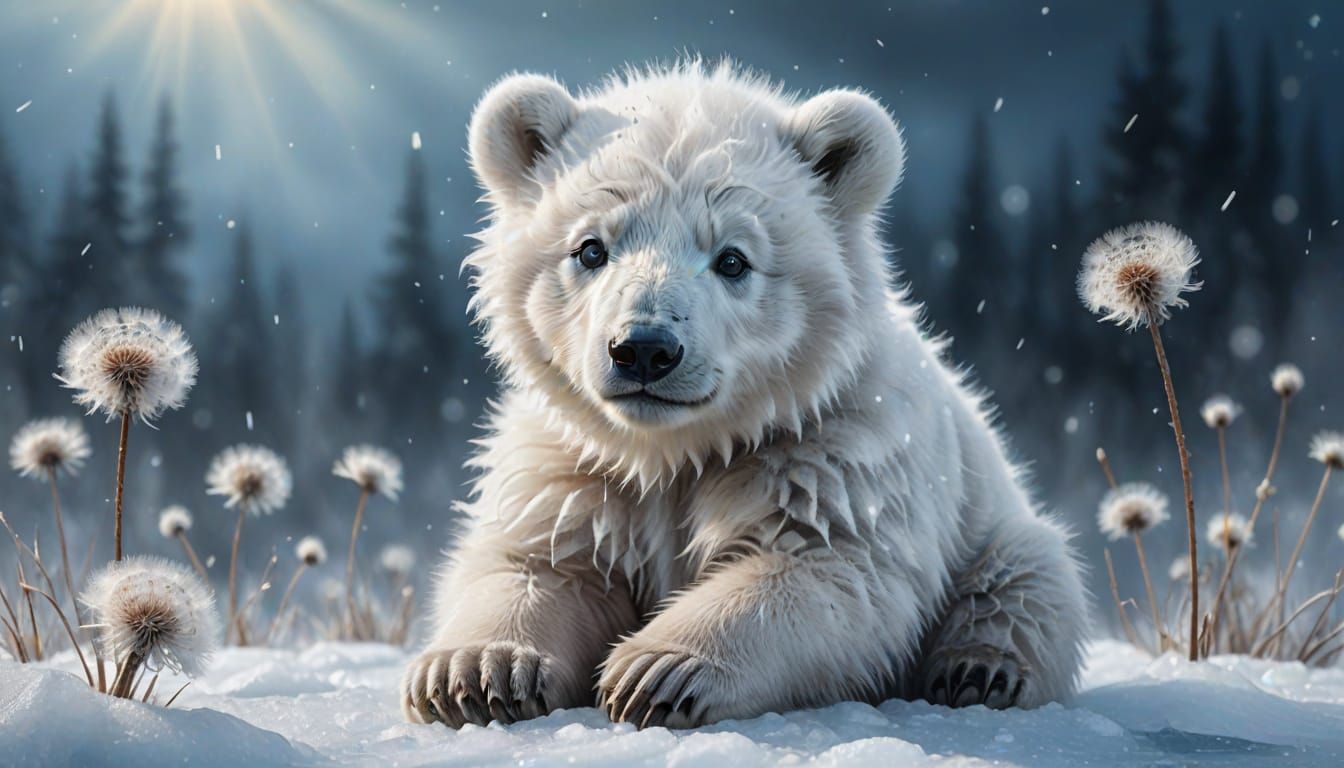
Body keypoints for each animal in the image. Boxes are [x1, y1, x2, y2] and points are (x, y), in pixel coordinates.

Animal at [401, 61, 1088, 730]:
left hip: (998, 530)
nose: (644, 348)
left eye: (733, 259)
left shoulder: (835, 454)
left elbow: (827, 569)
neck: (678, 448)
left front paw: (656, 671)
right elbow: (537, 560)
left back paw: (980, 670)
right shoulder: (576, 469)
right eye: (590, 248)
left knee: (1028, 582)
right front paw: (475, 672)